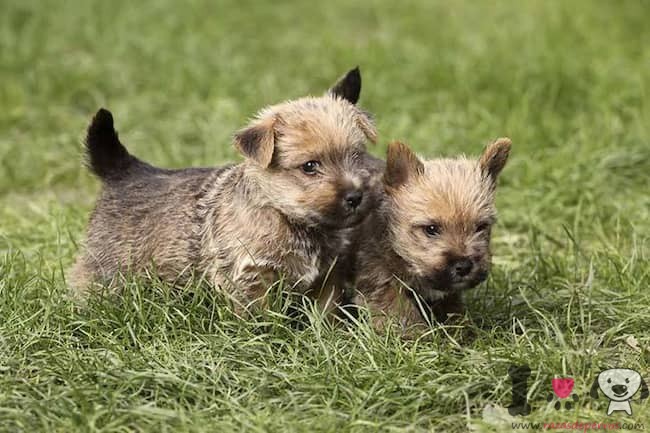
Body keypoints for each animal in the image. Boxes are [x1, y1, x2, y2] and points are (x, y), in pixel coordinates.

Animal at [69, 67, 380, 314]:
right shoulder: (251, 278)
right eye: (310, 166)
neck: (288, 218)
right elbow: (263, 320)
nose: (356, 196)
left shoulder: (327, 278)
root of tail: (122, 169)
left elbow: (325, 314)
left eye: (356, 155)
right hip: (105, 270)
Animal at [352, 138, 508, 334]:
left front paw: (462, 331)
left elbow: (452, 308)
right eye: (431, 229)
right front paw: (421, 336)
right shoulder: (382, 283)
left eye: (481, 227)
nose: (464, 266)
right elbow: (403, 315)